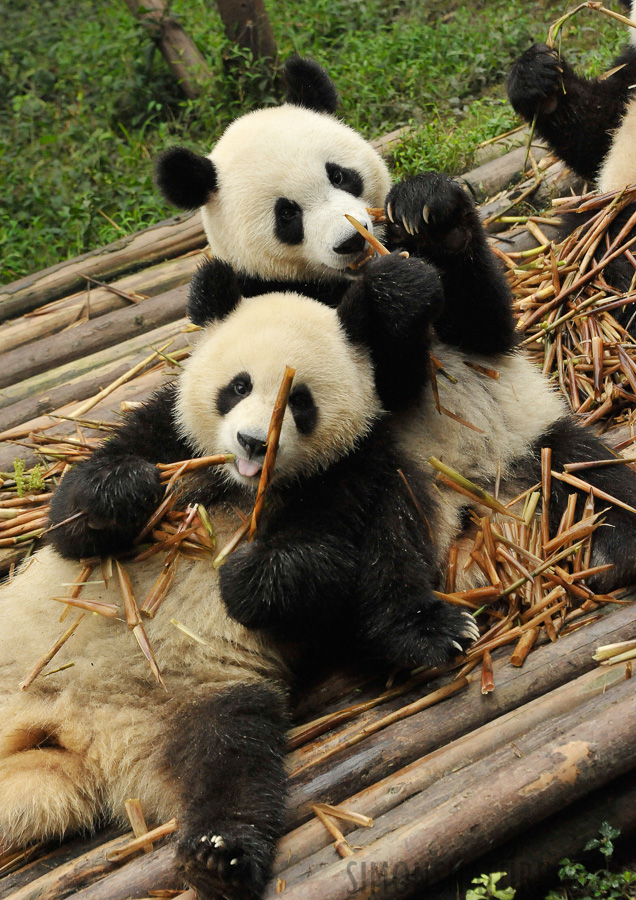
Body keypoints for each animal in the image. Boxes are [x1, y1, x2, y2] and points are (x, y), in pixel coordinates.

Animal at [0, 251, 480, 900]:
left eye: (299, 401)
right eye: (238, 386)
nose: (253, 442)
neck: (239, 487)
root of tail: (85, 742)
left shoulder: (345, 473)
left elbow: (319, 567)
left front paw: (244, 580)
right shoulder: (166, 427)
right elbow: (72, 515)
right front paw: (126, 490)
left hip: (199, 699)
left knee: (233, 763)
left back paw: (218, 855)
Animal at [150, 54, 636, 592]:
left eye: (341, 175)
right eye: (287, 214)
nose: (350, 241)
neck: (341, 278)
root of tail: (491, 489)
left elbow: (486, 330)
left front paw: (432, 209)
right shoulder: (272, 301)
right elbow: (388, 383)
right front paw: (398, 293)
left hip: (535, 431)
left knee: (589, 472)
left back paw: (611, 544)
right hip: (409, 479)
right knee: (395, 531)